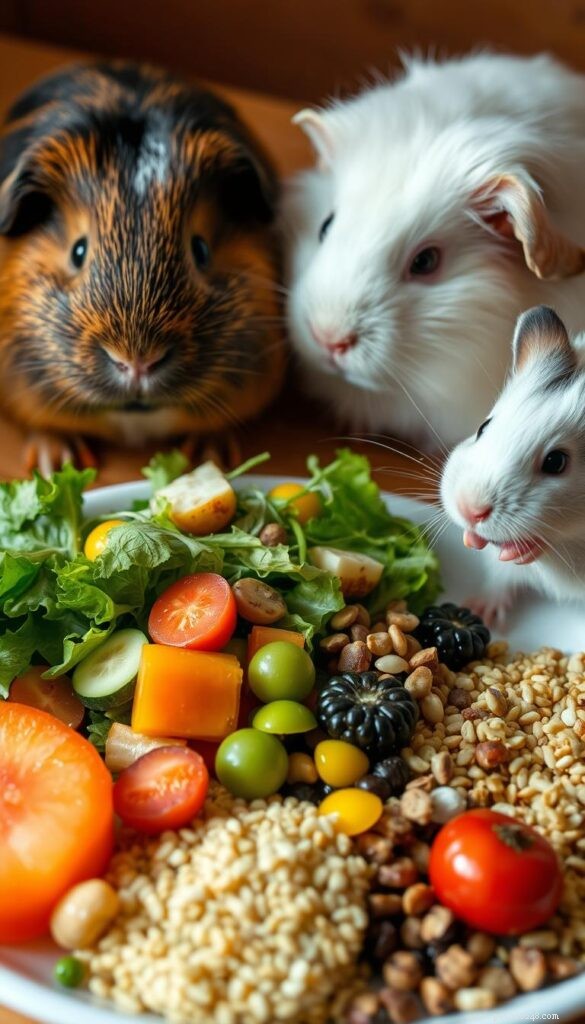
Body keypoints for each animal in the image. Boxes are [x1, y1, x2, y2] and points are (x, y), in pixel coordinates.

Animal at [441, 304, 585, 624]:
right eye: (483, 427)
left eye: (556, 461)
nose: (469, 510)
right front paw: (472, 539)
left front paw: (521, 550)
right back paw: (480, 610)